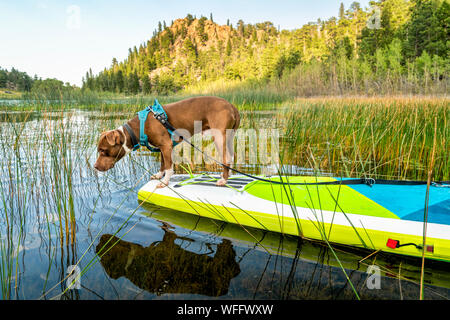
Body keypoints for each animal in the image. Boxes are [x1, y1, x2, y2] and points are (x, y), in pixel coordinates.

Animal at [94, 97, 241, 188]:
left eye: (103, 151)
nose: (95, 166)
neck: (137, 128)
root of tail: (232, 106)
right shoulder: (162, 148)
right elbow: (163, 163)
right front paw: (159, 175)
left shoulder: (166, 146)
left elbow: (169, 167)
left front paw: (164, 182)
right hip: (228, 137)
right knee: (231, 156)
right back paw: (228, 176)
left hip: (219, 137)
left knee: (226, 158)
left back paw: (223, 180)